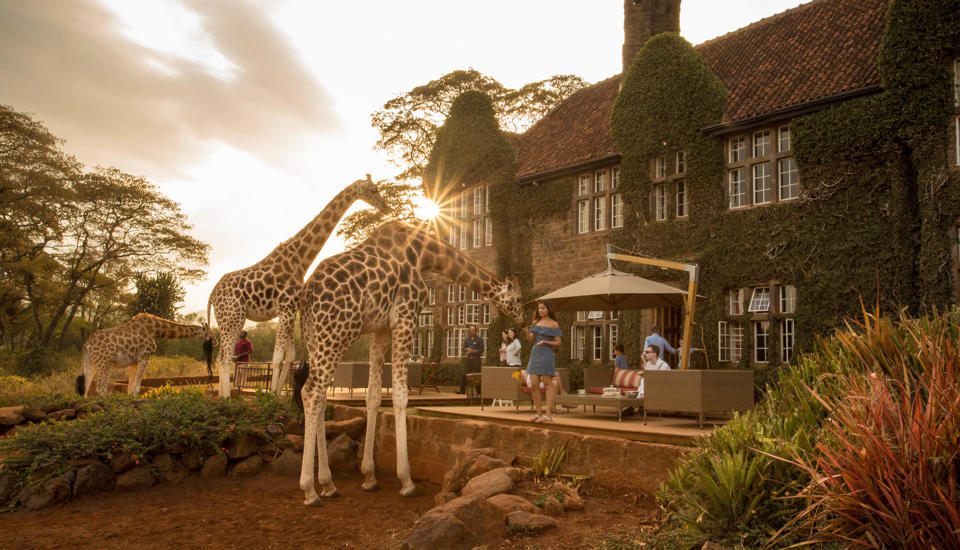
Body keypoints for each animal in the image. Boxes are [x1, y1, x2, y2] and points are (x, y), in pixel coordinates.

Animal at [78, 313, 211, 397]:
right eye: (209, 333)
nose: (213, 340)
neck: (157, 330)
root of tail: (87, 345)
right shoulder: (145, 356)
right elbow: (137, 386)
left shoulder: (134, 361)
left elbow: (130, 386)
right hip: (104, 363)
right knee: (100, 387)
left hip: (90, 363)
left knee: (86, 387)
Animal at [206, 175, 388, 397]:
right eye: (373, 190)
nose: (386, 207)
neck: (300, 260)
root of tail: (212, 294)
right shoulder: (285, 308)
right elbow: (277, 356)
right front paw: (270, 396)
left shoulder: (291, 309)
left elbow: (289, 354)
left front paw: (278, 395)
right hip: (231, 317)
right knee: (224, 357)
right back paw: (226, 398)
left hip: (233, 318)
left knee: (221, 356)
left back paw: (223, 396)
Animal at [296, 221, 525, 506]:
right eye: (518, 299)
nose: (524, 320)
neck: (425, 254)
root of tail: (306, 296)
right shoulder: (405, 317)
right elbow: (400, 395)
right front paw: (406, 481)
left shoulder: (380, 329)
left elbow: (373, 395)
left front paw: (369, 477)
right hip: (337, 333)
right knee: (311, 392)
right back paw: (309, 490)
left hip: (314, 338)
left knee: (320, 395)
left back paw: (328, 484)